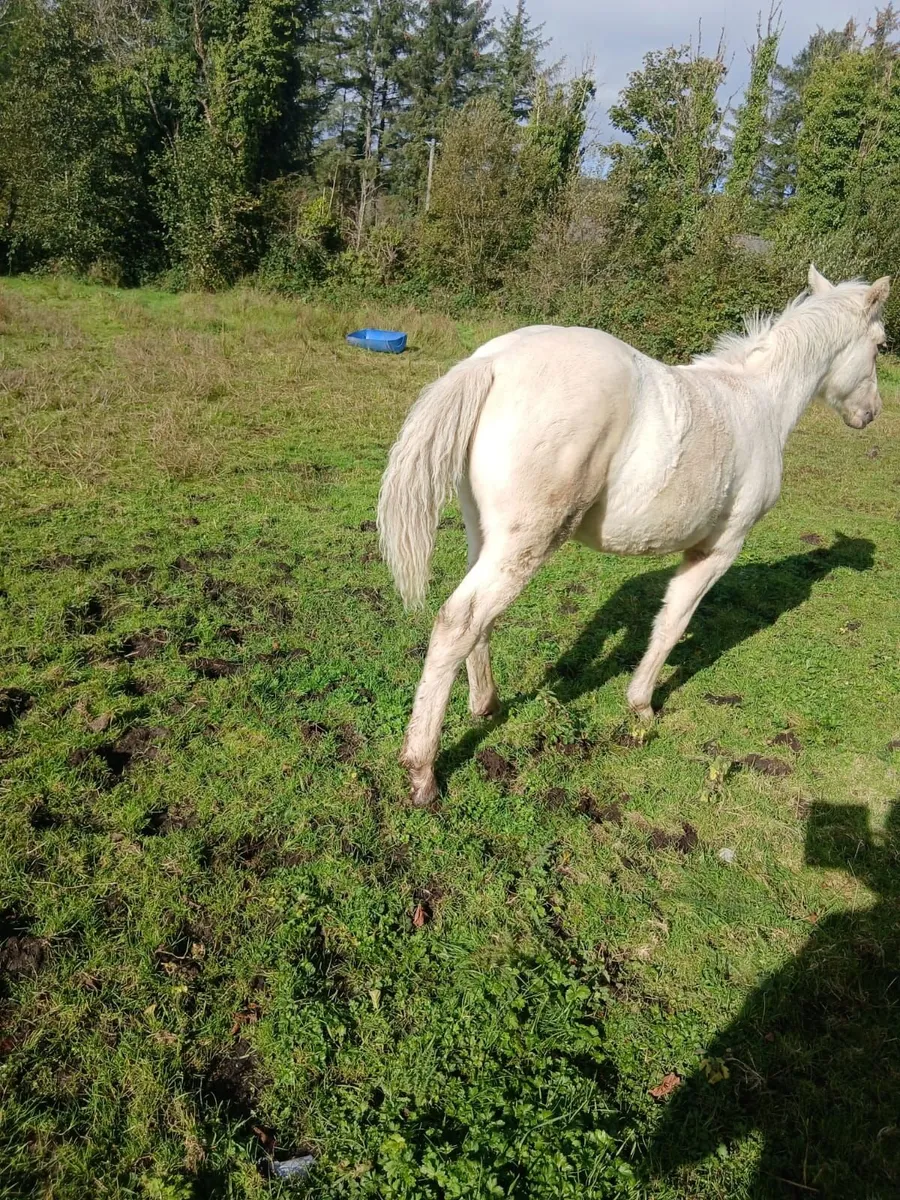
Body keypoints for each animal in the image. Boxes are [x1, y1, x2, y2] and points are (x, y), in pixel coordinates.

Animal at [377, 265, 889, 807]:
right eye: (880, 345)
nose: (871, 413)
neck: (758, 402)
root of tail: (491, 363)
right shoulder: (718, 549)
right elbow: (672, 624)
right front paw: (642, 706)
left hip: (487, 538)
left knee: (479, 623)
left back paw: (486, 705)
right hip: (525, 544)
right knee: (458, 621)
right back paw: (423, 771)